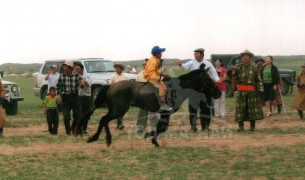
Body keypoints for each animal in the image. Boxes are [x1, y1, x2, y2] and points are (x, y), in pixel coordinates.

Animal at [74, 64, 220, 147]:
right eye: (207, 79)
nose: (218, 93)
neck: (176, 89)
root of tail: (111, 85)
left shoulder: (165, 114)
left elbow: (161, 128)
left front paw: (152, 139)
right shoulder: (165, 112)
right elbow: (162, 128)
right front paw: (151, 138)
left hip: (114, 109)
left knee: (104, 120)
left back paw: (100, 138)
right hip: (119, 110)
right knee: (104, 119)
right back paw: (102, 139)